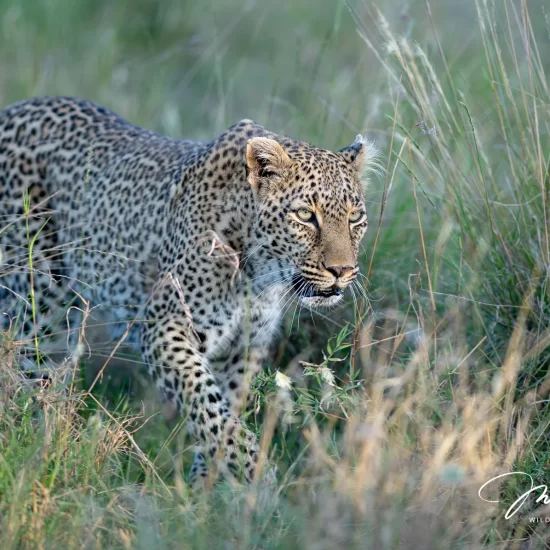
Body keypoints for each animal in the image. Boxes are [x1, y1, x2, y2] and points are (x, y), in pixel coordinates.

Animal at [0, 97, 380, 490]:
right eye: (305, 215)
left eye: (355, 218)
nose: (342, 271)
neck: (258, 273)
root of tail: (15, 108)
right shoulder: (165, 329)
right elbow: (205, 402)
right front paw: (255, 475)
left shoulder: (244, 345)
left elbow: (223, 405)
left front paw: (208, 486)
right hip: (37, 297)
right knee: (25, 368)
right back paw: (35, 445)